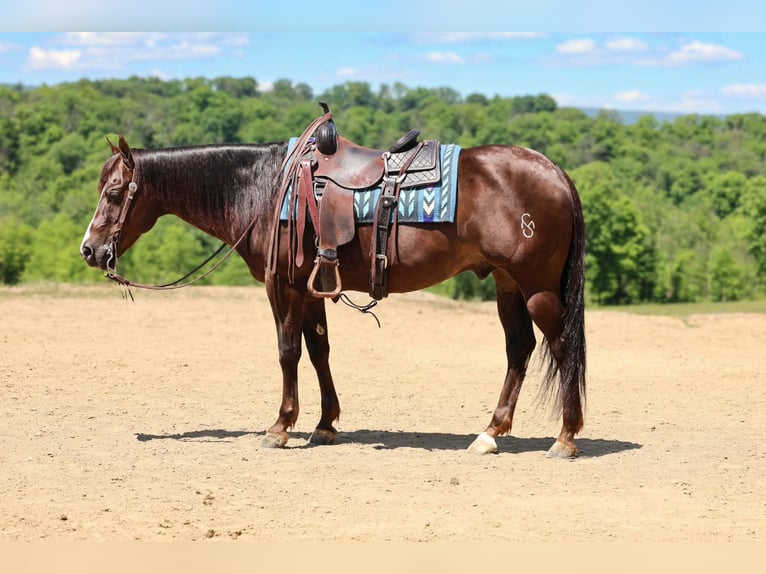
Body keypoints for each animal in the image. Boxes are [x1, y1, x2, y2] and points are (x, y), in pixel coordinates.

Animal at [80, 125, 587, 458]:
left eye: (115, 193)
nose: (89, 249)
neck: (265, 189)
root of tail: (557, 174)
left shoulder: (283, 286)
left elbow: (288, 352)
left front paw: (281, 425)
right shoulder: (311, 289)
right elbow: (319, 350)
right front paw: (324, 425)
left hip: (536, 287)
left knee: (562, 345)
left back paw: (565, 437)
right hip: (507, 284)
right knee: (519, 349)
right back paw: (490, 433)